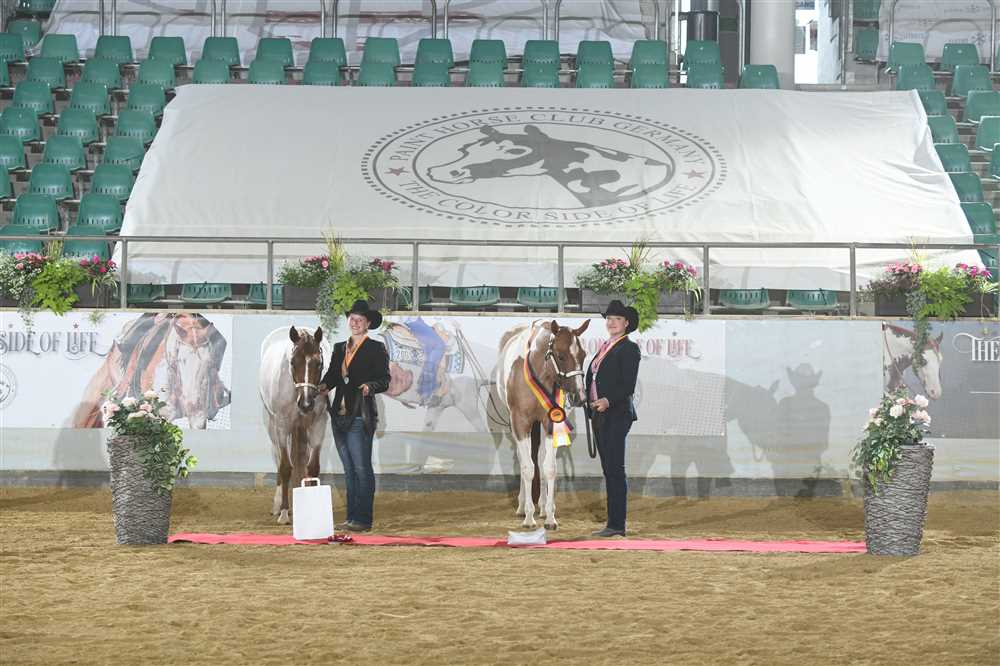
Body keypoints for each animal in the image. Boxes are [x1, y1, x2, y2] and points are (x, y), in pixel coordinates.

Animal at [258, 326, 329, 524]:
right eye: (293, 362)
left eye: (319, 363)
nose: (306, 404)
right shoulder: (282, 426)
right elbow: (285, 467)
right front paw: (283, 512)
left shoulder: (318, 424)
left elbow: (312, 467)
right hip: (272, 426)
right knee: (278, 459)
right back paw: (277, 506)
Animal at [495, 319, 590, 529]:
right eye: (561, 356)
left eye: (583, 355)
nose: (580, 397)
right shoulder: (520, 422)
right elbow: (527, 468)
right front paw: (529, 517)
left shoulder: (550, 421)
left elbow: (549, 468)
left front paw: (550, 517)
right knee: (524, 460)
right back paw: (523, 507)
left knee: (540, 458)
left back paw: (544, 506)